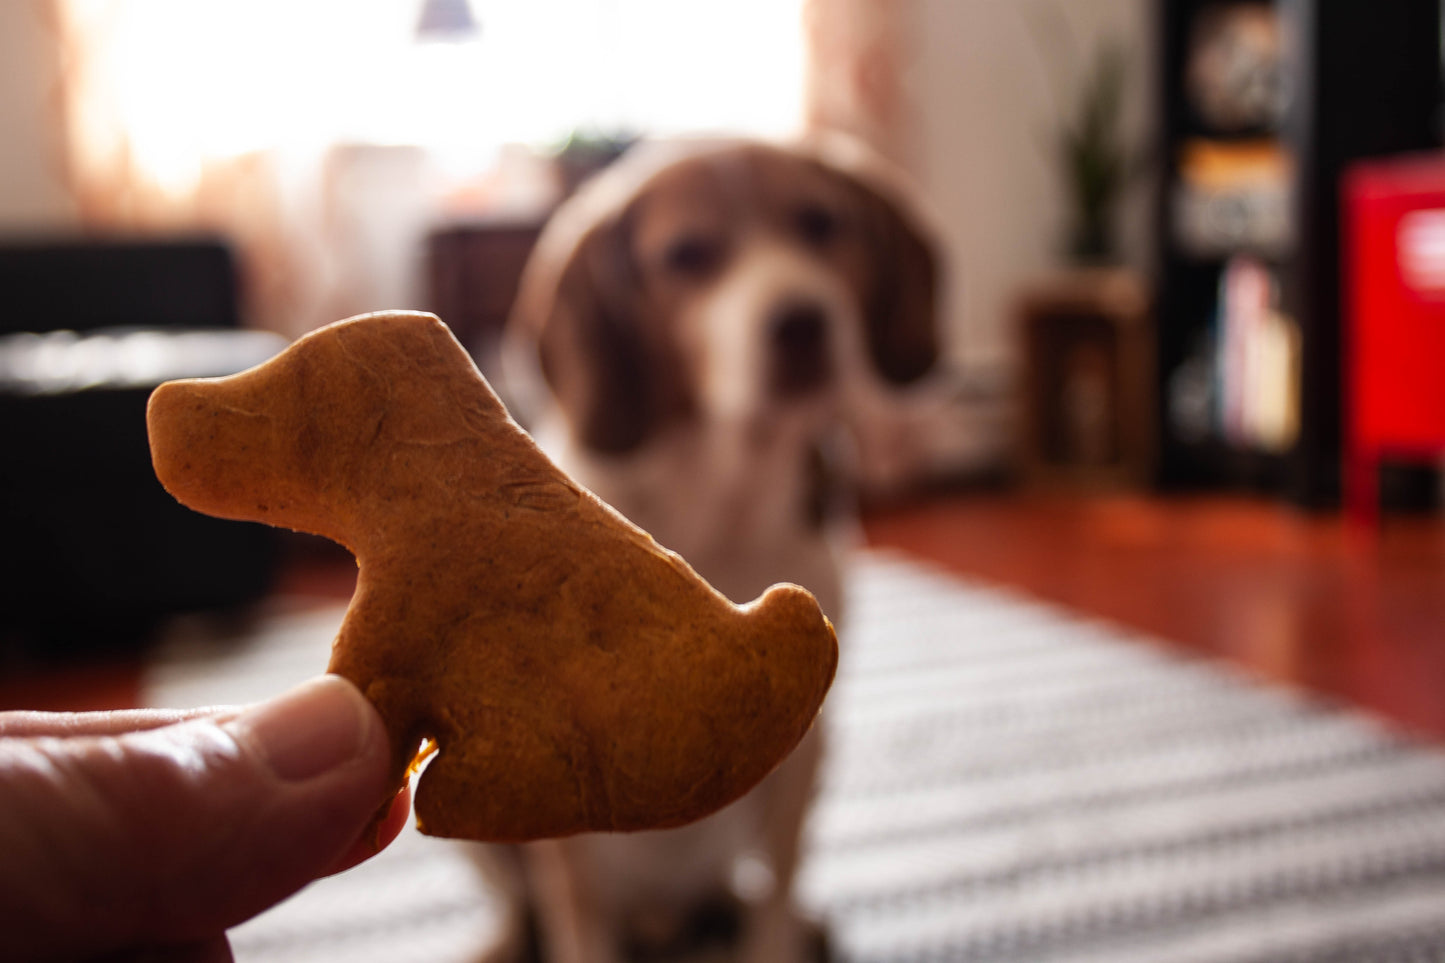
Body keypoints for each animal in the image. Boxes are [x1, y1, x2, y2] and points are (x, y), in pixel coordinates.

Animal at [497, 136, 942, 960]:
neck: (720, 503)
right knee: (524, 906)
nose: (801, 321)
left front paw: (777, 935)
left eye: (820, 223)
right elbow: (579, 924)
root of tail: (661, 915)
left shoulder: (801, 744)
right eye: (686, 255)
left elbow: (776, 899)